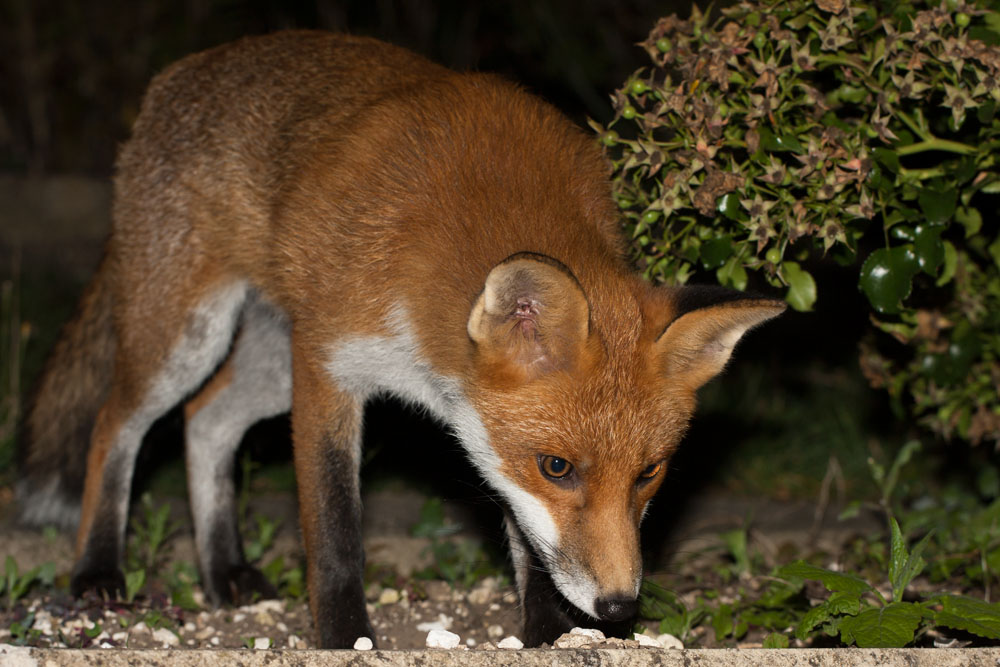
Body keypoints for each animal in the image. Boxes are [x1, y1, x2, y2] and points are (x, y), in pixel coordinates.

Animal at [17, 31, 784, 648]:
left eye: (649, 473)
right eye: (559, 467)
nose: (620, 606)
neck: (427, 362)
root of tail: (178, 74)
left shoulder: (481, 426)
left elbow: (527, 542)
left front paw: (546, 632)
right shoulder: (327, 364)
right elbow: (335, 534)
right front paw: (345, 637)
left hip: (262, 366)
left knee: (206, 418)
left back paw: (224, 569)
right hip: (188, 337)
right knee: (116, 424)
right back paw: (97, 570)